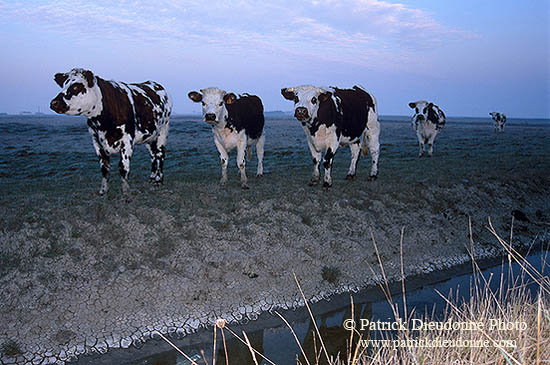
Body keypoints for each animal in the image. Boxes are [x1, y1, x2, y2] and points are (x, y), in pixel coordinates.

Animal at [51, 67, 174, 195]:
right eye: (63, 85)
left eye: (76, 87)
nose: (54, 103)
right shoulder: (96, 141)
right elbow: (104, 168)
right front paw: (103, 191)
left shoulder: (127, 140)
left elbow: (123, 168)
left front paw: (126, 192)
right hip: (150, 137)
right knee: (153, 155)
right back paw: (151, 178)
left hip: (163, 130)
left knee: (160, 154)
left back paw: (158, 181)